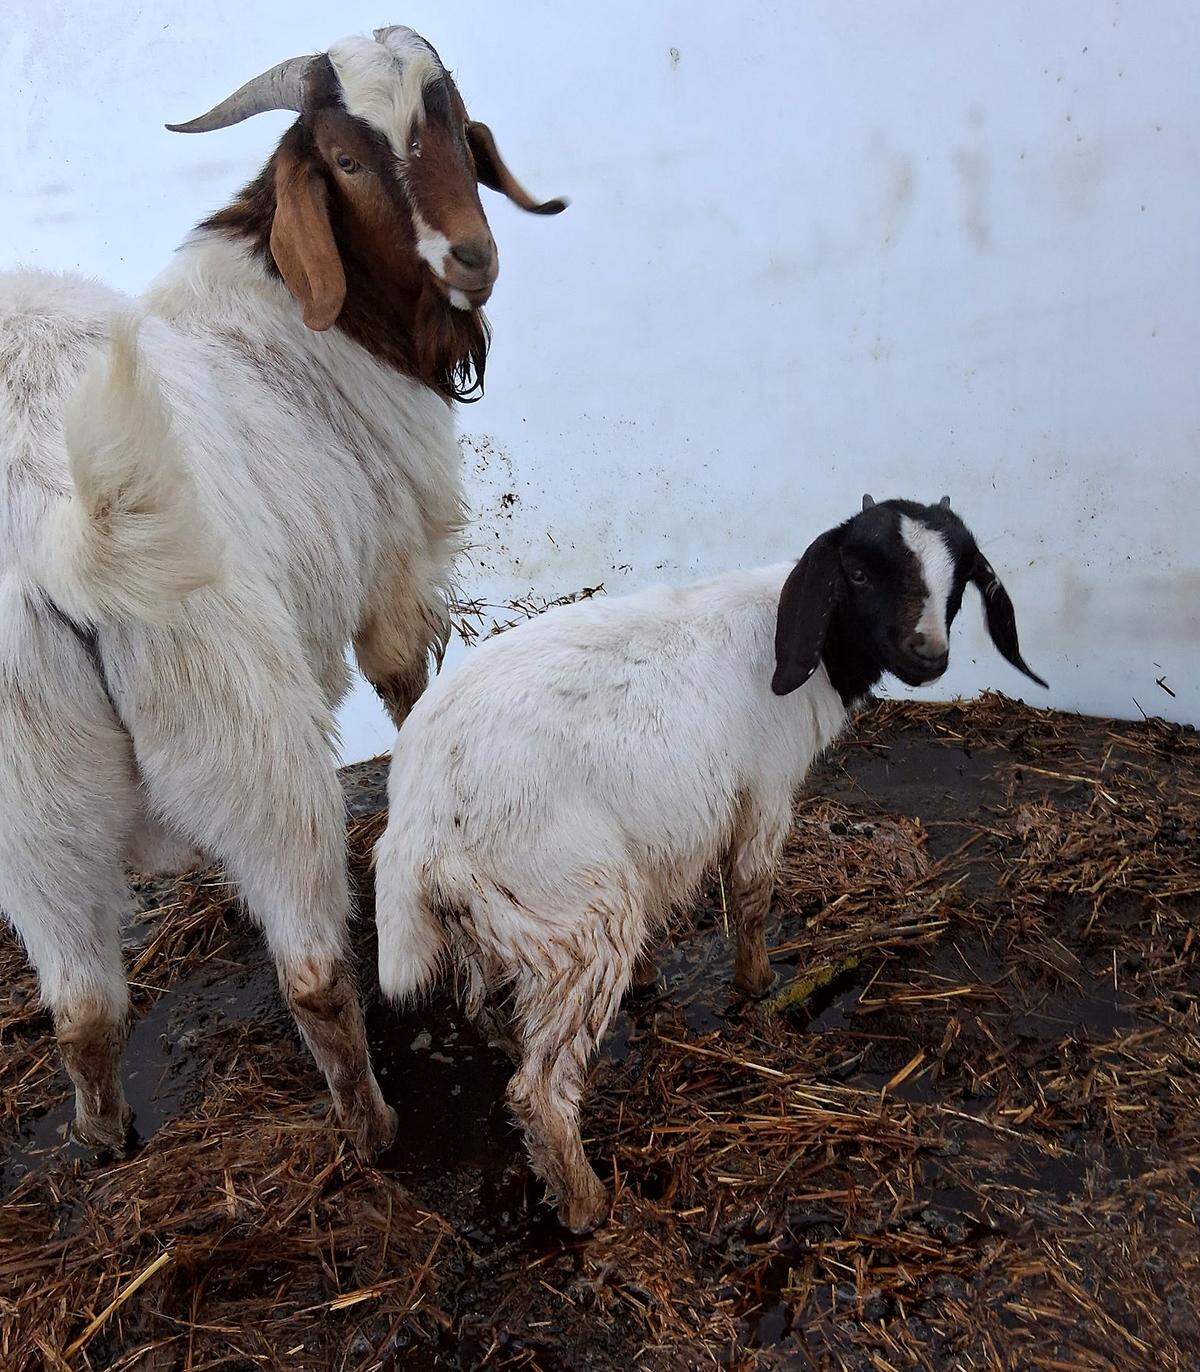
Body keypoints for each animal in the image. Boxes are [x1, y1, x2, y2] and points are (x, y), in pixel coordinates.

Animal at [0, 25, 563, 1157]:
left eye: (450, 116)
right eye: (345, 159)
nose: (471, 257)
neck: (309, 327)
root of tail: (55, 536)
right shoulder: (392, 577)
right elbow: (408, 691)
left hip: (31, 799)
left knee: (81, 1008)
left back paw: (108, 1140)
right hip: (243, 725)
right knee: (307, 966)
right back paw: (375, 1131)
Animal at [375, 495, 1046, 1229]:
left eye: (959, 578)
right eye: (861, 574)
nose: (928, 657)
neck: (805, 646)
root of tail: (420, 824)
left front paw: (654, 976)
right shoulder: (765, 791)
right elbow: (752, 893)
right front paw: (758, 985)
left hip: (505, 917)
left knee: (481, 1002)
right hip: (578, 913)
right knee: (541, 1090)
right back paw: (587, 1205)